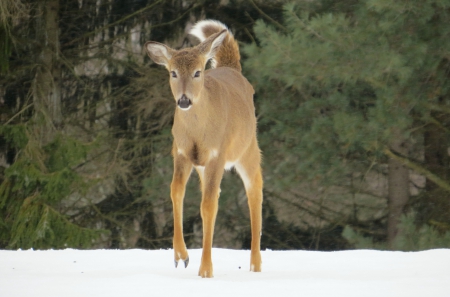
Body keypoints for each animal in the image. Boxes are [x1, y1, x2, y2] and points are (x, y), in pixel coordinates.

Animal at [144, 19, 264, 276]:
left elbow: (207, 207)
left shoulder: (217, 155)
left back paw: (255, 264)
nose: (184, 100)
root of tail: (233, 69)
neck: (197, 134)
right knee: (217, 194)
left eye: (198, 72)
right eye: (173, 72)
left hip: (248, 148)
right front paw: (181, 256)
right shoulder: (180, 152)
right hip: (203, 165)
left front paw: (206, 270)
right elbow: (176, 192)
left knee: (255, 190)